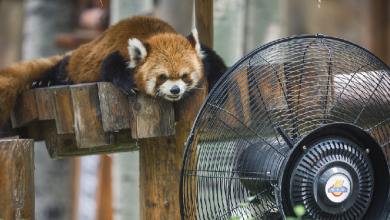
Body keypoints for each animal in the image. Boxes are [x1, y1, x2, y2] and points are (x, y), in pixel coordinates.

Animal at [0, 15, 227, 125]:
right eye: (162, 77)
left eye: (184, 76)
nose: (175, 90)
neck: (156, 32)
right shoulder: (117, 52)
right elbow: (109, 67)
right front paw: (128, 83)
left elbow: (214, 62)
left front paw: (220, 86)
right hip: (79, 61)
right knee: (63, 67)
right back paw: (44, 80)